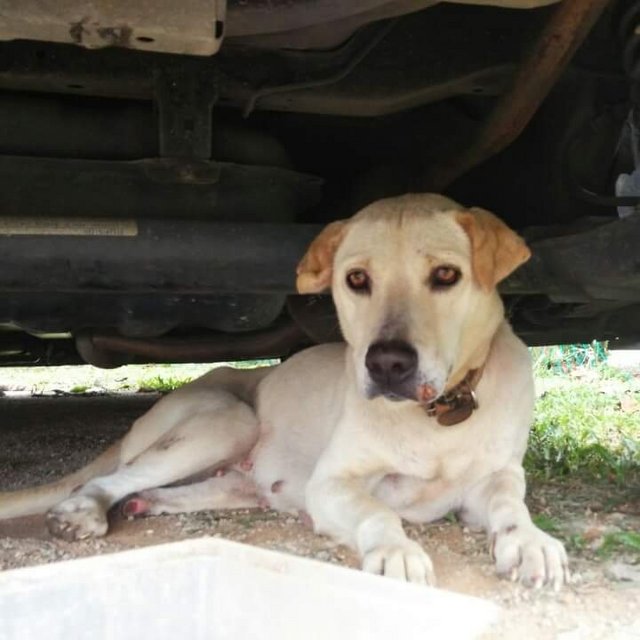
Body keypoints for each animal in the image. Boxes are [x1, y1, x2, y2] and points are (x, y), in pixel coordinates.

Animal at [0, 194, 568, 592]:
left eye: (446, 274)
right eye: (356, 279)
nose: (387, 364)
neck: (435, 416)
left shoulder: (493, 480)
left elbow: (510, 504)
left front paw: (531, 542)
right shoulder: (333, 483)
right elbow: (378, 512)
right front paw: (397, 552)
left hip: (236, 478)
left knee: (167, 488)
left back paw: (146, 503)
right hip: (228, 422)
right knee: (106, 480)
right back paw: (84, 511)